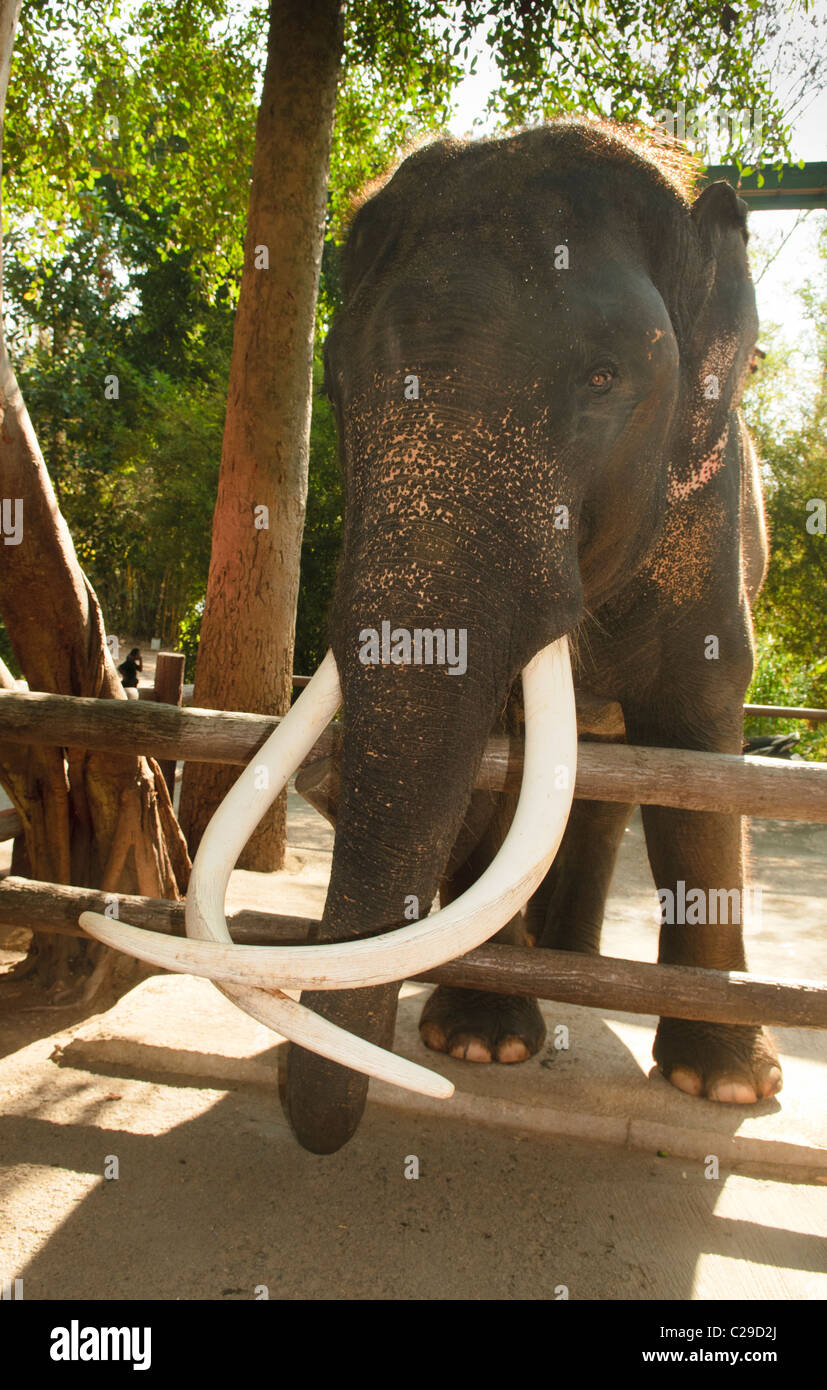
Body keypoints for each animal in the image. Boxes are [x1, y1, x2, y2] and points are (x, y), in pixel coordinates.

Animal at [81, 116, 783, 1155]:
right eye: (334, 384)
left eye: (605, 378)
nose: (317, 1134)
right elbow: (492, 771)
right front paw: (479, 1044)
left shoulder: (710, 517)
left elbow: (698, 739)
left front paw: (724, 1087)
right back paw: (557, 965)